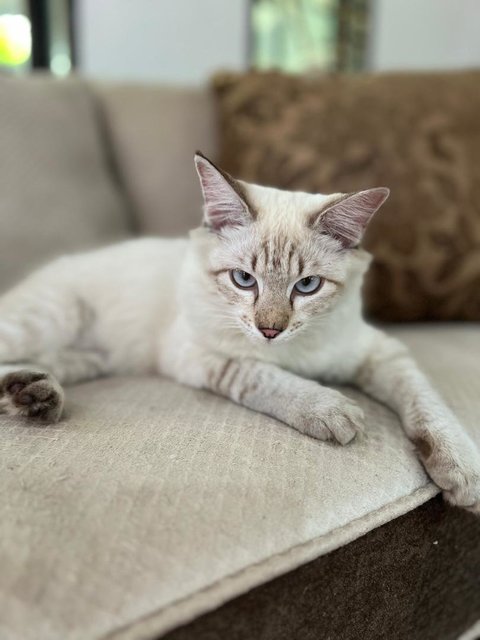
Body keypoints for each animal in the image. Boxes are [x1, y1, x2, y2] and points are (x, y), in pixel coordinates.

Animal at [0, 151, 478, 516]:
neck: (291, 348)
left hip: (88, 358)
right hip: (49, 319)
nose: (269, 330)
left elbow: (425, 400)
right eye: (243, 280)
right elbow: (263, 376)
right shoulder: (197, 354)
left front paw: (461, 472)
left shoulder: (377, 351)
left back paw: (33, 395)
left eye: (307, 286)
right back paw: (35, 396)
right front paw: (330, 410)